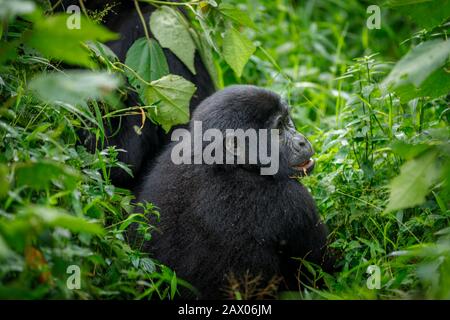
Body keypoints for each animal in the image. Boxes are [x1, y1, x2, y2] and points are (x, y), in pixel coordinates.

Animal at [137, 85, 334, 300]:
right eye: (278, 129)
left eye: (287, 121)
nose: (302, 142)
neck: (225, 161)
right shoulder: (293, 201)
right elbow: (322, 273)